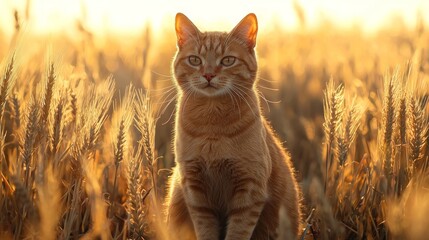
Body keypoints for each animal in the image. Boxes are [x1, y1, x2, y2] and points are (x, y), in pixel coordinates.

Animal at [164, 13, 300, 240]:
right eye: (195, 60)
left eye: (228, 60)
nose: (208, 75)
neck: (212, 123)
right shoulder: (195, 191)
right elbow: (206, 230)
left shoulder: (249, 188)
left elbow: (237, 231)